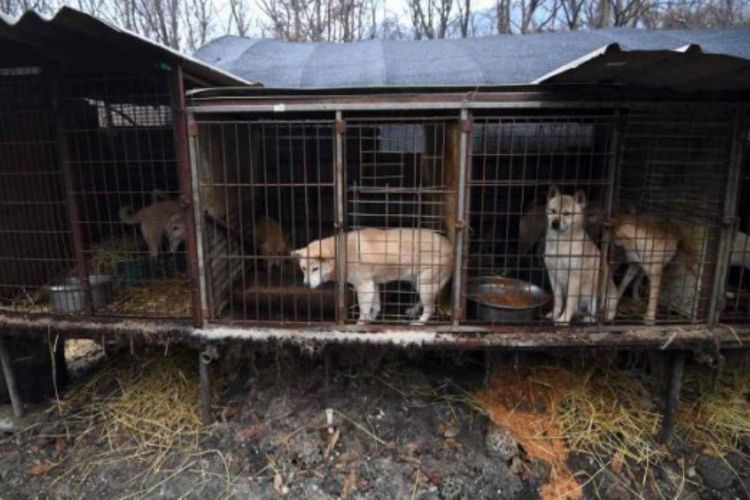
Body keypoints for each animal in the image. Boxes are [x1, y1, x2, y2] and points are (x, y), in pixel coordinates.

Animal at [290, 229, 452, 326]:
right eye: (304, 269)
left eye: (315, 269)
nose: (306, 285)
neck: (341, 254)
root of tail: (450, 246)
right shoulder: (372, 284)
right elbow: (376, 306)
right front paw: (371, 319)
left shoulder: (364, 285)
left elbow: (364, 309)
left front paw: (360, 324)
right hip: (418, 282)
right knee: (427, 302)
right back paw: (412, 311)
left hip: (424, 283)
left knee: (430, 308)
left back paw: (419, 322)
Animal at [544, 185, 620, 324]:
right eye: (553, 211)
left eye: (567, 214)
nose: (555, 223)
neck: (561, 245)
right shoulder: (553, 274)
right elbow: (558, 301)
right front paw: (554, 315)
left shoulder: (574, 277)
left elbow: (569, 302)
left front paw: (563, 319)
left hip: (600, 295)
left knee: (603, 312)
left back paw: (591, 318)